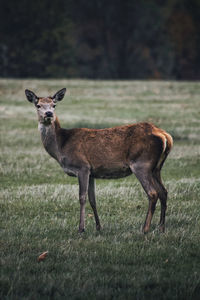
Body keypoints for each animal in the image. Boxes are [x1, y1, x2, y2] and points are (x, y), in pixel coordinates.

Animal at [24, 88, 172, 233]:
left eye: (54, 105)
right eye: (38, 105)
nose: (49, 113)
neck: (62, 146)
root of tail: (165, 136)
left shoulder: (82, 167)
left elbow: (82, 197)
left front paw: (81, 228)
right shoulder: (92, 172)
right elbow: (92, 199)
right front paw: (98, 227)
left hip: (141, 164)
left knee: (153, 193)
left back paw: (145, 229)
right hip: (156, 167)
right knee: (163, 191)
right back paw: (161, 227)